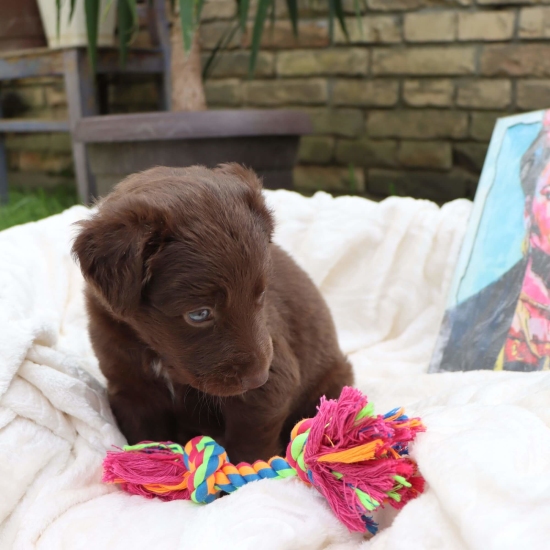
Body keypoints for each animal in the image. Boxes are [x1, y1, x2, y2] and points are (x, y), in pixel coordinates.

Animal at [72, 165, 354, 466]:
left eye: (260, 295)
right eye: (199, 314)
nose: (258, 379)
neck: (159, 354)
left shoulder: (270, 387)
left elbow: (248, 442)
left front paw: (248, 474)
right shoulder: (131, 387)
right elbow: (145, 436)